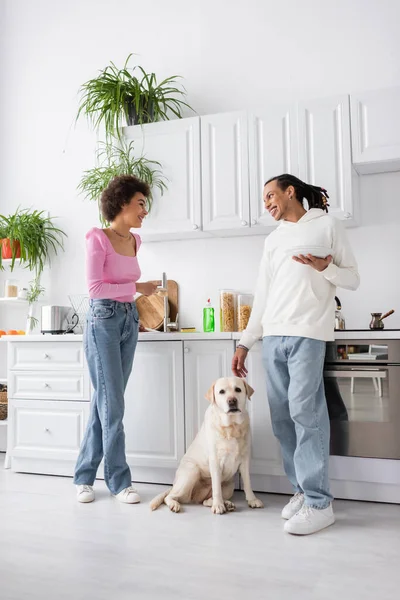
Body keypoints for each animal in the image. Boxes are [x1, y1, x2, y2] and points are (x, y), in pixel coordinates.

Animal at [149, 378, 262, 512]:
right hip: (192, 472)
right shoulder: (215, 461)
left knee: (205, 501)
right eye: (221, 392)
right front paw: (218, 506)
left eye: (238, 389)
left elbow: (247, 483)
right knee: (170, 496)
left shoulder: (244, 460)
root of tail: (174, 484)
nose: (232, 401)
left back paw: (226, 504)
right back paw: (174, 504)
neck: (231, 426)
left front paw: (252, 500)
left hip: (229, 486)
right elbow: (216, 487)